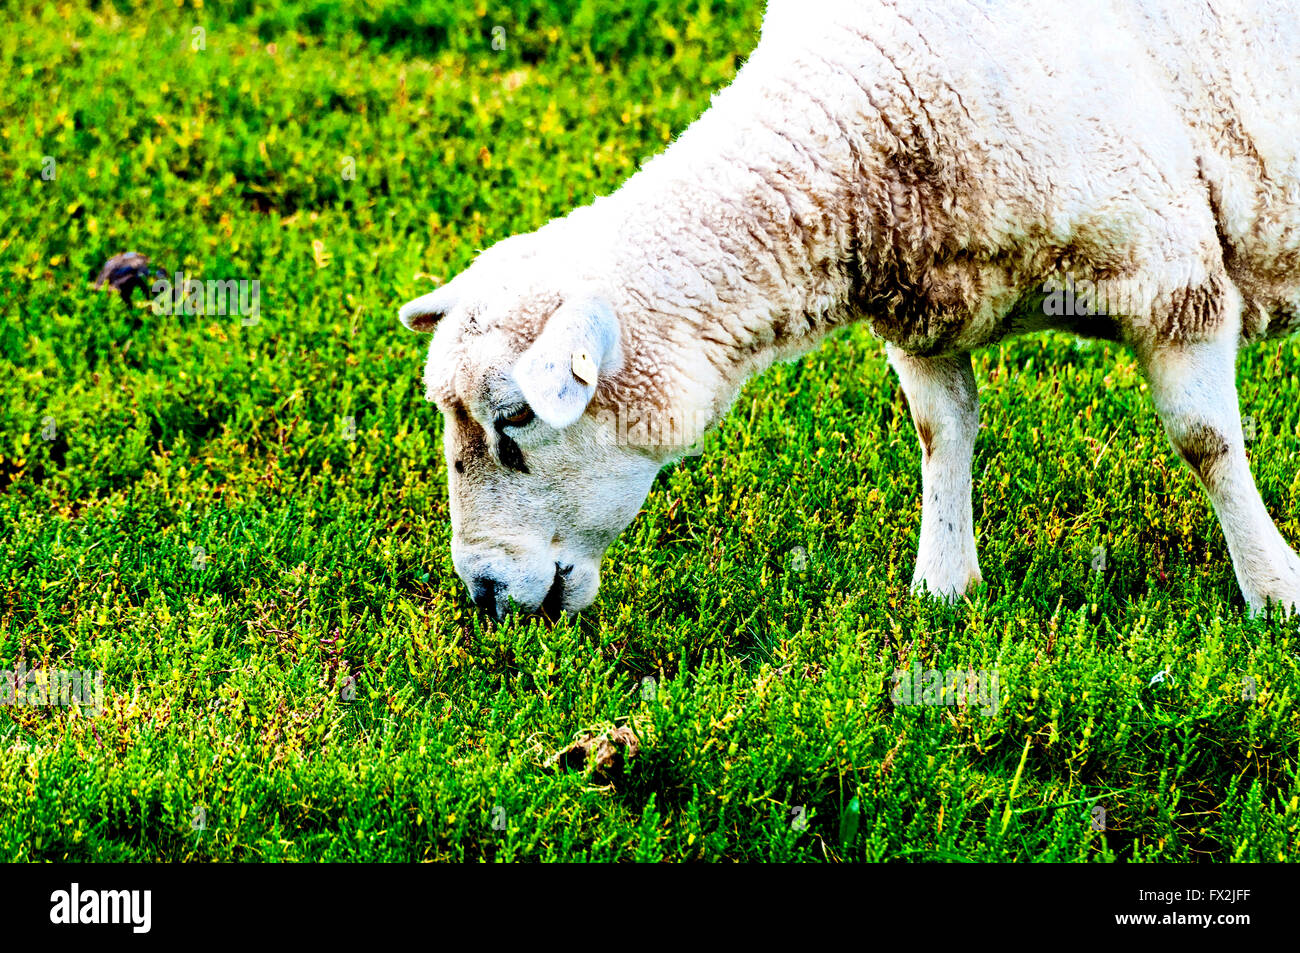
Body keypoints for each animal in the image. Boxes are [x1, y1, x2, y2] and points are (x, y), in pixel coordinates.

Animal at [399, 0, 1300, 620]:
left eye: (517, 419)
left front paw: (1271, 589)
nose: (484, 590)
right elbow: (942, 432)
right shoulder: (930, 304)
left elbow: (1205, 441)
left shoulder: (1169, 273)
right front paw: (944, 587)